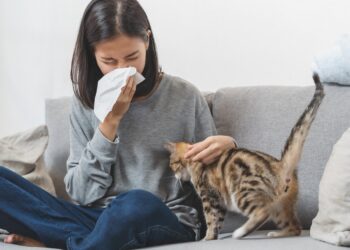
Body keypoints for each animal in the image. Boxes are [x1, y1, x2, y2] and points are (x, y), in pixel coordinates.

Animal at [165, 73, 326, 240]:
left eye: (172, 164)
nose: (174, 175)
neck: (195, 162)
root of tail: (280, 165)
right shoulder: (219, 202)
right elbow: (218, 222)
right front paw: (213, 237)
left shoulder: (209, 196)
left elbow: (210, 220)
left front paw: (207, 238)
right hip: (281, 205)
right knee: (295, 227)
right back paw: (276, 234)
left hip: (242, 193)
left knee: (263, 212)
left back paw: (240, 232)